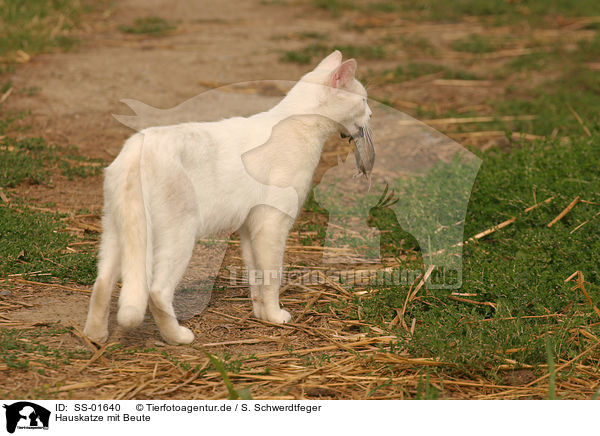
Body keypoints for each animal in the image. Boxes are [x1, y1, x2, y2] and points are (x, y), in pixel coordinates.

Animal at [83, 51, 376, 344]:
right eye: (363, 100)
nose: (372, 113)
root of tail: (138, 147)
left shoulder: (249, 227)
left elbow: (256, 276)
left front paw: (261, 315)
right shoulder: (272, 224)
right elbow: (272, 276)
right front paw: (276, 316)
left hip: (116, 233)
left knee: (102, 282)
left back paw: (95, 337)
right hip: (178, 237)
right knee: (157, 292)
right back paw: (178, 337)